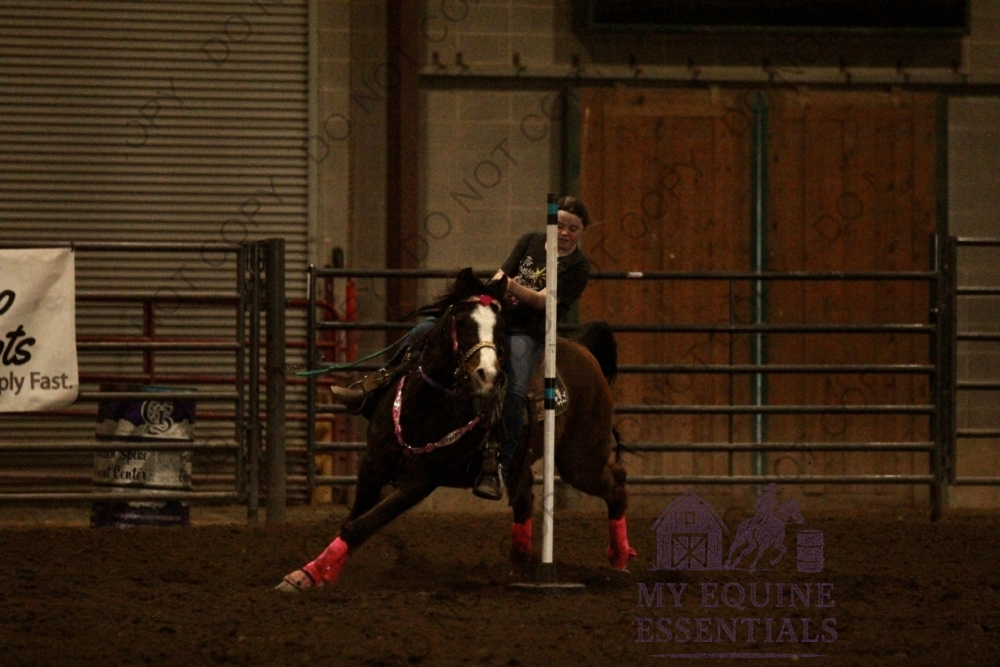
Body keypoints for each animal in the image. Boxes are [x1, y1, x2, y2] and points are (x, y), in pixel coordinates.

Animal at [277, 268, 636, 591]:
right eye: (462, 322)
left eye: (500, 327)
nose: (487, 374)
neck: (425, 406)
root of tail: (584, 350)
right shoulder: (372, 463)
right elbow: (352, 520)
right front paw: (313, 572)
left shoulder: (420, 482)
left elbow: (362, 525)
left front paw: (307, 576)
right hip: (526, 462)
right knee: (526, 498)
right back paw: (519, 566)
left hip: (581, 459)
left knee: (616, 482)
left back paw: (618, 558)